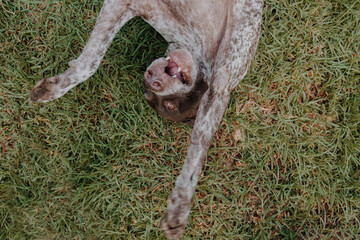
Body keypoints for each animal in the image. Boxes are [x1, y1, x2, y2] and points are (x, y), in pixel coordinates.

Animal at [29, 0, 262, 239]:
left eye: (171, 105)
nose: (152, 79)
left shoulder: (220, 86)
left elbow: (196, 153)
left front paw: (180, 203)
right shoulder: (128, 5)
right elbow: (90, 63)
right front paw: (56, 87)